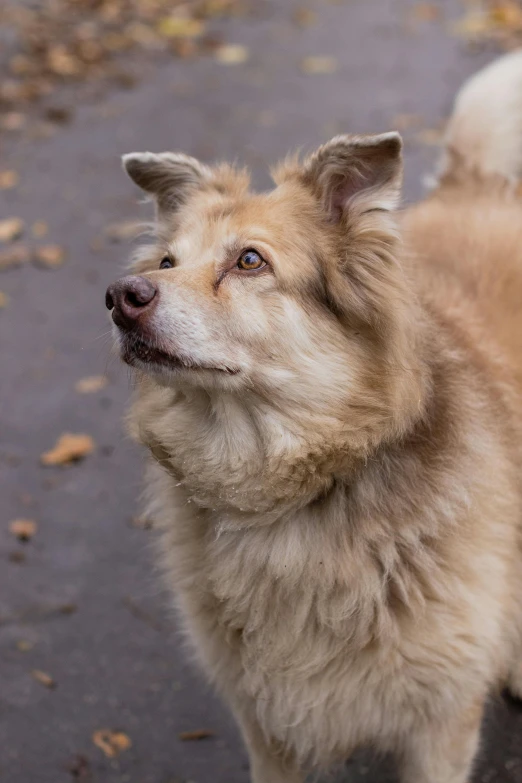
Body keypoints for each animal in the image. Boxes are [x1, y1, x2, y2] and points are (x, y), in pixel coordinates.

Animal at [105, 50, 520, 783]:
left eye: (249, 260)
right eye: (166, 261)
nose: (120, 298)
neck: (293, 501)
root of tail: (479, 186)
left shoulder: (442, 725)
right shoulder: (268, 725)